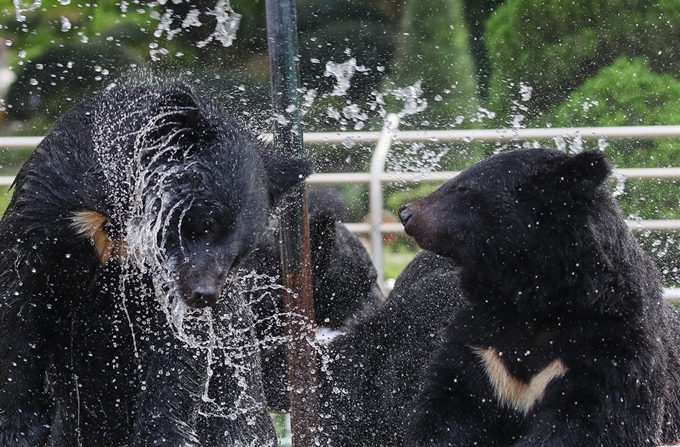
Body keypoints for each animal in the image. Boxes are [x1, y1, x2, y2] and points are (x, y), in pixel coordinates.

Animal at [0, 84, 312, 447]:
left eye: (239, 254)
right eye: (204, 224)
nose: (204, 294)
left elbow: (178, 350)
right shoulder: (49, 205)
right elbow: (18, 305)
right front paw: (19, 430)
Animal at [398, 150, 680, 447]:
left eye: (463, 188)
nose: (405, 213)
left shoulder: (612, 347)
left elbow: (599, 420)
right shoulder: (482, 345)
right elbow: (452, 403)